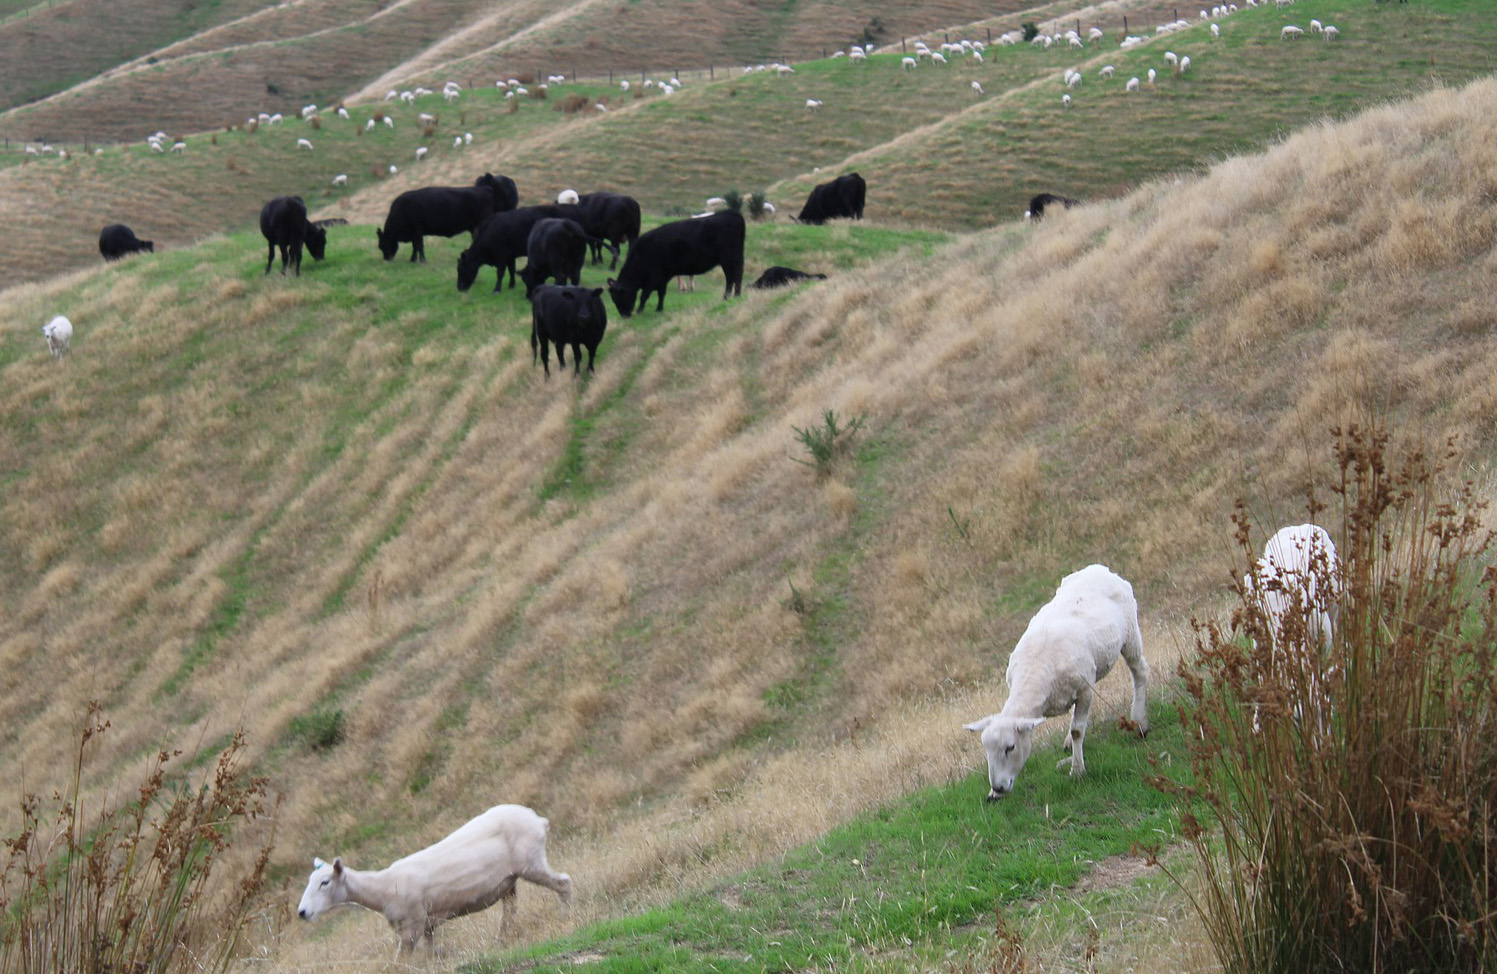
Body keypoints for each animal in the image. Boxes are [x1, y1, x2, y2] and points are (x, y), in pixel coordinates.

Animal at [294, 801, 568, 957]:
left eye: (325, 882)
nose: (302, 912)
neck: (382, 889)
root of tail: (537, 819)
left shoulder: (411, 928)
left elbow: (401, 962)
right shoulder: (427, 925)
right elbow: (429, 953)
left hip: (532, 862)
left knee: (563, 882)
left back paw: (566, 913)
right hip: (508, 881)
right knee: (510, 910)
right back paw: (501, 940)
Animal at [377, 172, 517, 260]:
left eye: (382, 244)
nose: (386, 259)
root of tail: (486, 188)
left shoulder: (417, 229)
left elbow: (419, 246)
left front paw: (422, 261)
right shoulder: (415, 233)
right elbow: (415, 247)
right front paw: (413, 259)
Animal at [452, 204, 586, 293]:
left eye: (461, 269)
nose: (459, 287)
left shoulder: (502, 256)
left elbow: (500, 273)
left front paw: (497, 289)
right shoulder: (510, 255)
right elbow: (511, 270)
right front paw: (511, 285)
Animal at [604, 210, 745, 318]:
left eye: (617, 297)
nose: (624, 315)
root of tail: (732, 214)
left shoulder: (653, 277)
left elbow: (644, 295)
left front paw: (639, 310)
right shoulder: (663, 277)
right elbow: (661, 294)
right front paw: (659, 309)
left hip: (728, 259)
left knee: (731, 277)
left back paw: (728, 297)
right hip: (735, 258)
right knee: (736, 276)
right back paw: (736, 295)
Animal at [964, 562, 1149, 801]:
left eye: (1010, 747)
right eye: (986, 750)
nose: (998, 788)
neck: (1034, 672)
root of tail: (1099, 568)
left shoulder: (1085, 690)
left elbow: (1078, 730)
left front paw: (1077, 770)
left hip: (1130, 634)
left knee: (1140, 672)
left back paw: (1140, 722)